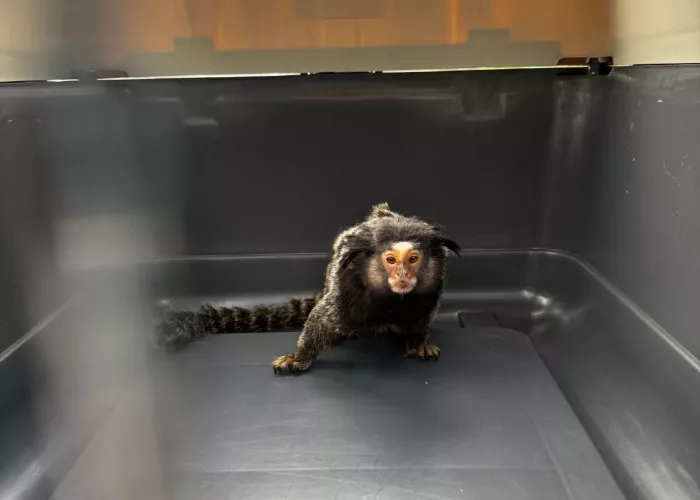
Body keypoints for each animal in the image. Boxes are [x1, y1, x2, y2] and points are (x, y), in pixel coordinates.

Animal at [154, 203, 460, 375]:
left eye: (413, 259)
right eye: (391, 260)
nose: (403, 276)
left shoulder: (428, 294)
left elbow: (418, 323)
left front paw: (417, 344)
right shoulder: (348, 291)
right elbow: (323, 323)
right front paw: (299, 358)